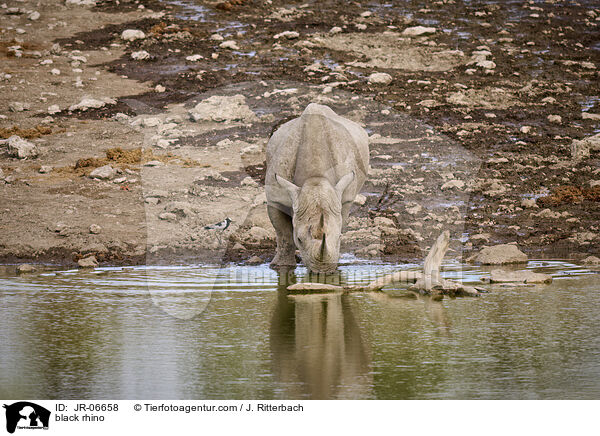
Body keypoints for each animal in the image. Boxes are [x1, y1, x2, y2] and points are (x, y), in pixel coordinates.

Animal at [268, 103, 370, 272]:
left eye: (340, 238)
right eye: (299, 239)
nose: (323, 270)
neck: (314, 178)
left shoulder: (344, 197)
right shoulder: (275, 199)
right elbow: (283, 233)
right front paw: (281, 266)